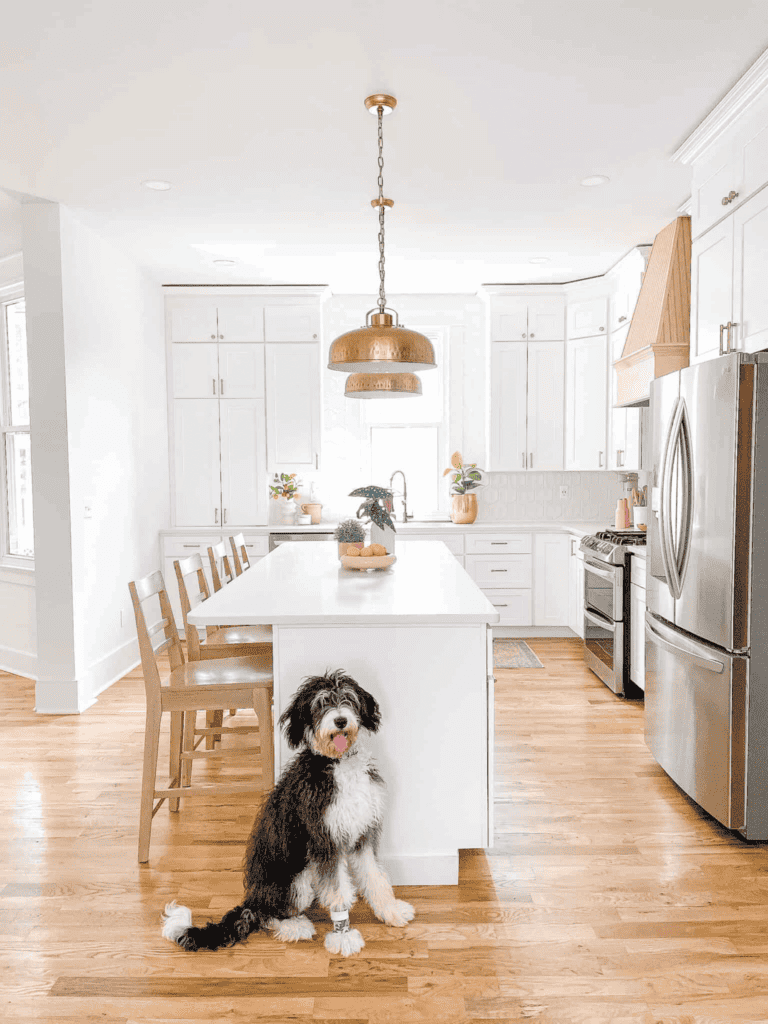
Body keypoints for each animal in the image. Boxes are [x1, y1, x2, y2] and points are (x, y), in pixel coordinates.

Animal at [160, 667, 415, 954]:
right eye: (320, 704)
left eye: (348, 698)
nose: (340, 721)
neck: (338, 765)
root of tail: (252, 899)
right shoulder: (323, 841)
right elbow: (337, 891)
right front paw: (343, 936)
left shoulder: (363, 833)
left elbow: (375, 876)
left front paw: (390, 910)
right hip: (295, 881)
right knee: (269, 915)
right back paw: (295, 926)